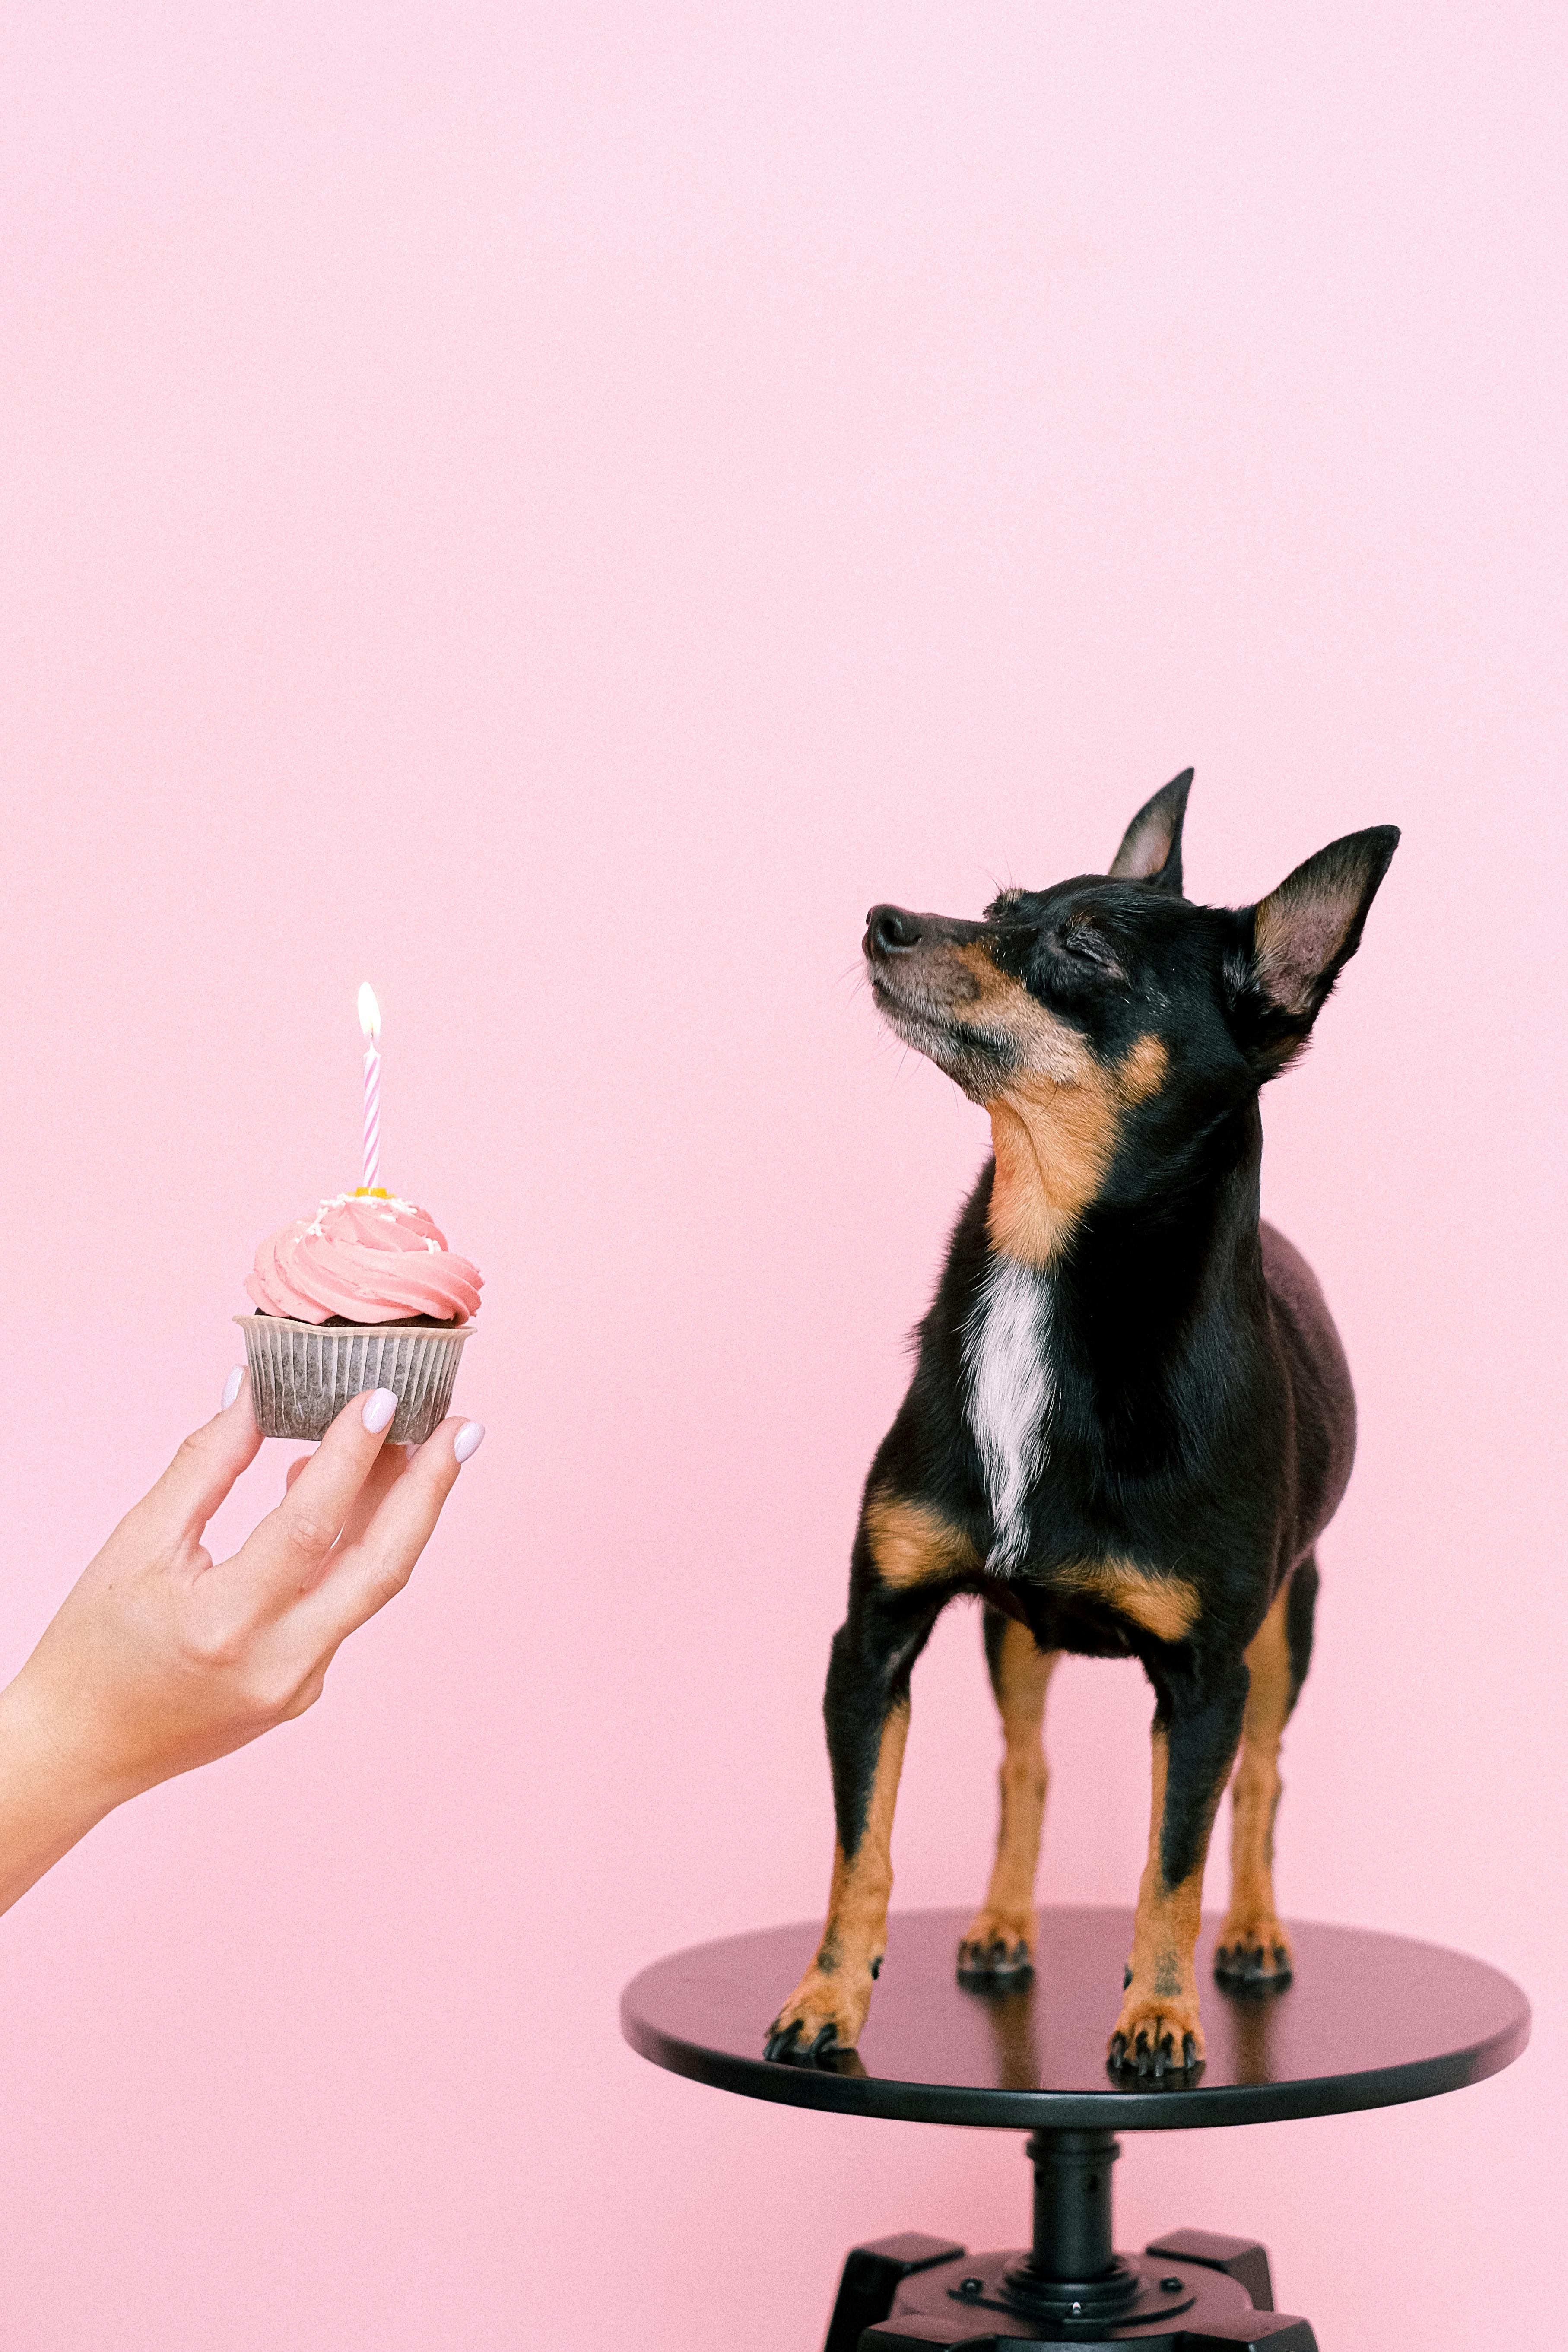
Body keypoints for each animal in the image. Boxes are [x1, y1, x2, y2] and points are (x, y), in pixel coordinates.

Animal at [762, 776, 1401, 2079]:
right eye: (1005, 904)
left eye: (1082, 950)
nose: (886, 920)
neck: (1041, 1261)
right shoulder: (873, 1639)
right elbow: (860, 1846)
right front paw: (827, 1996)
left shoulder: (1202, 1682)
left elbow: (1171, 1862)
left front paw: (1156, 2015)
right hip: (1013, 1638)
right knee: (1026, 1767)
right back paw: (1005, 1919)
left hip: (1283, 1631)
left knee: (1255, 1787)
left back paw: (1251, 1932)